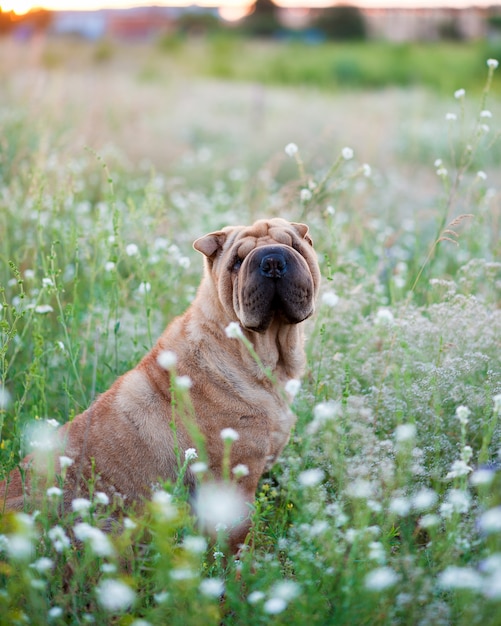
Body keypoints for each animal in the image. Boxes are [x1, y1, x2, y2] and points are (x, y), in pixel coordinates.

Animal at [0, 217, 318, 548]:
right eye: (237, 262)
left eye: (294, 246)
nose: (272, 261)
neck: (261, 357)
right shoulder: (234, 478)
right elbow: (238, 539)